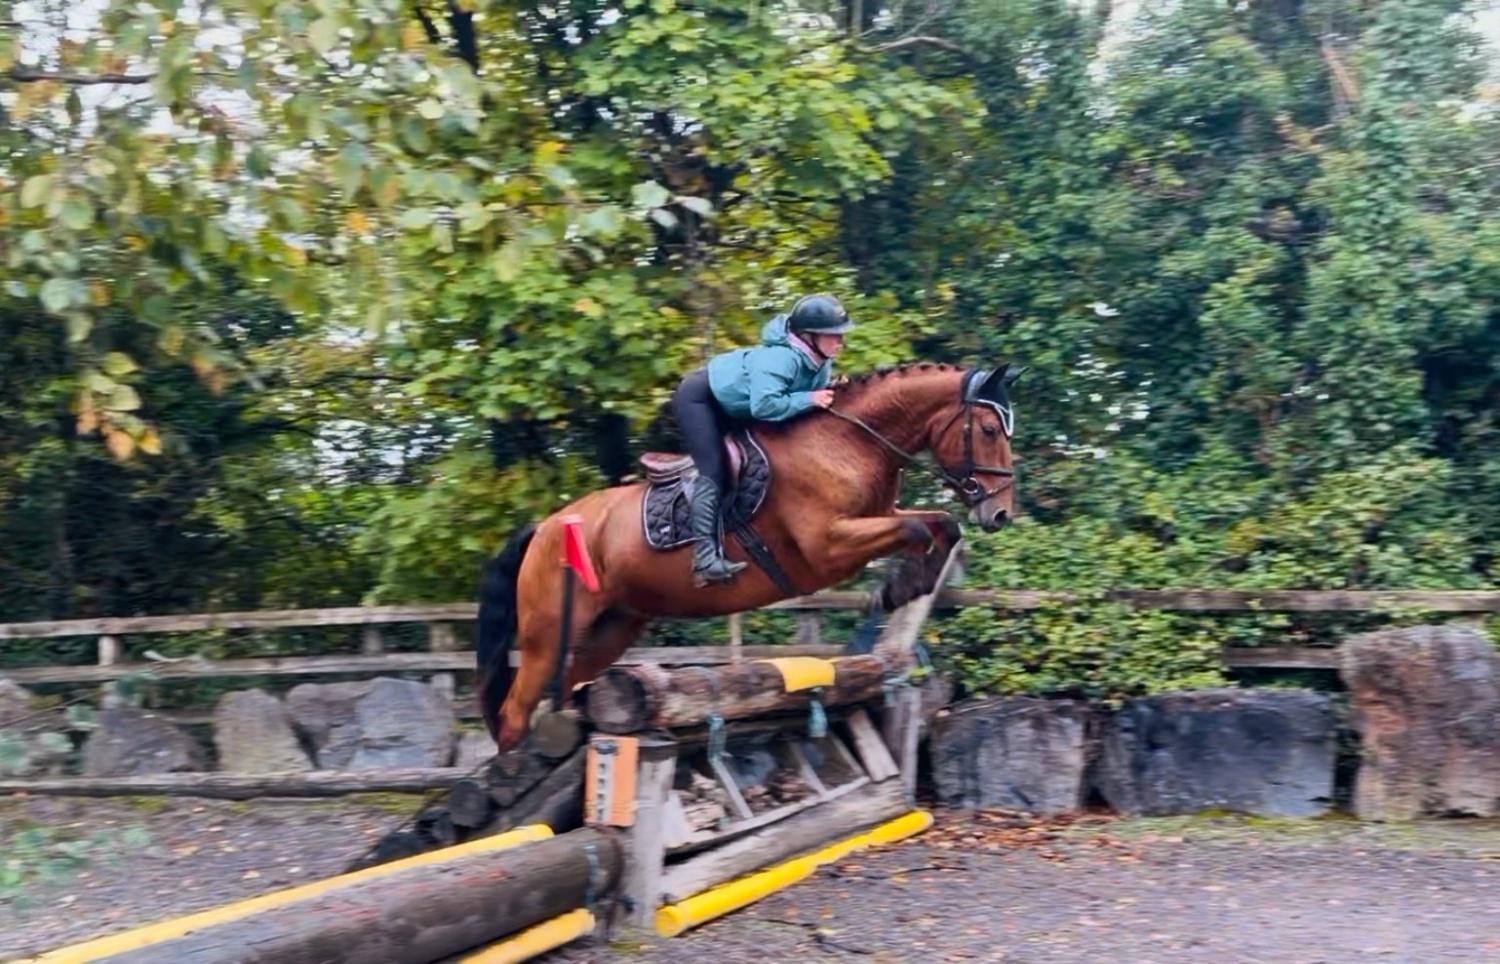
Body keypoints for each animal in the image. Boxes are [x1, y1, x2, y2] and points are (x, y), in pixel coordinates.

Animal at [475, 361, 1023, 753]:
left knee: (568, 684)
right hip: (548, 633)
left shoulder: (875, 519)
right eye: (989, 431)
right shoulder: (827, 548)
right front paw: (894, 589)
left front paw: (908, 585)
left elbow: (940, 524)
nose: (1000, 513)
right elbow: (914, 528)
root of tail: (546, 527)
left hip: (613, 627)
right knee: (514, 713)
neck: (847, 442)